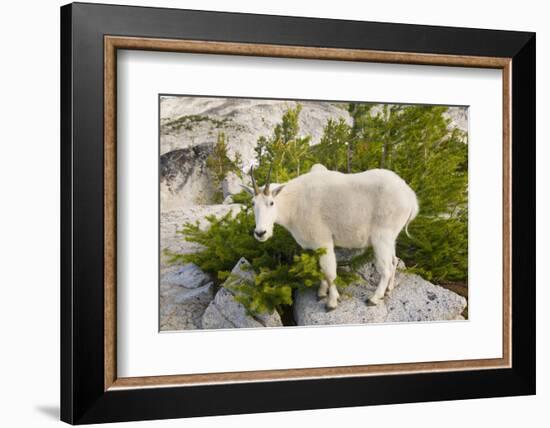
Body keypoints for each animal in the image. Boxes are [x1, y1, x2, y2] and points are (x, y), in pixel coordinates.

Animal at [244, 165, 420, 310]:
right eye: (253, 203)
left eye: (271, 203)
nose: (260, 233)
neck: (293, 204)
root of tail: (410, 197)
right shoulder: (317, 246)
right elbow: (321, 270)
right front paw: (321, 292)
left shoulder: (324, 240)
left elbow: (330, 273)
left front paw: (332, 302)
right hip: (391, 238)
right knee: (395, 260)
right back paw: (389, 290)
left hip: (381, 237)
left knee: (386, 268)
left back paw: (374, 298)